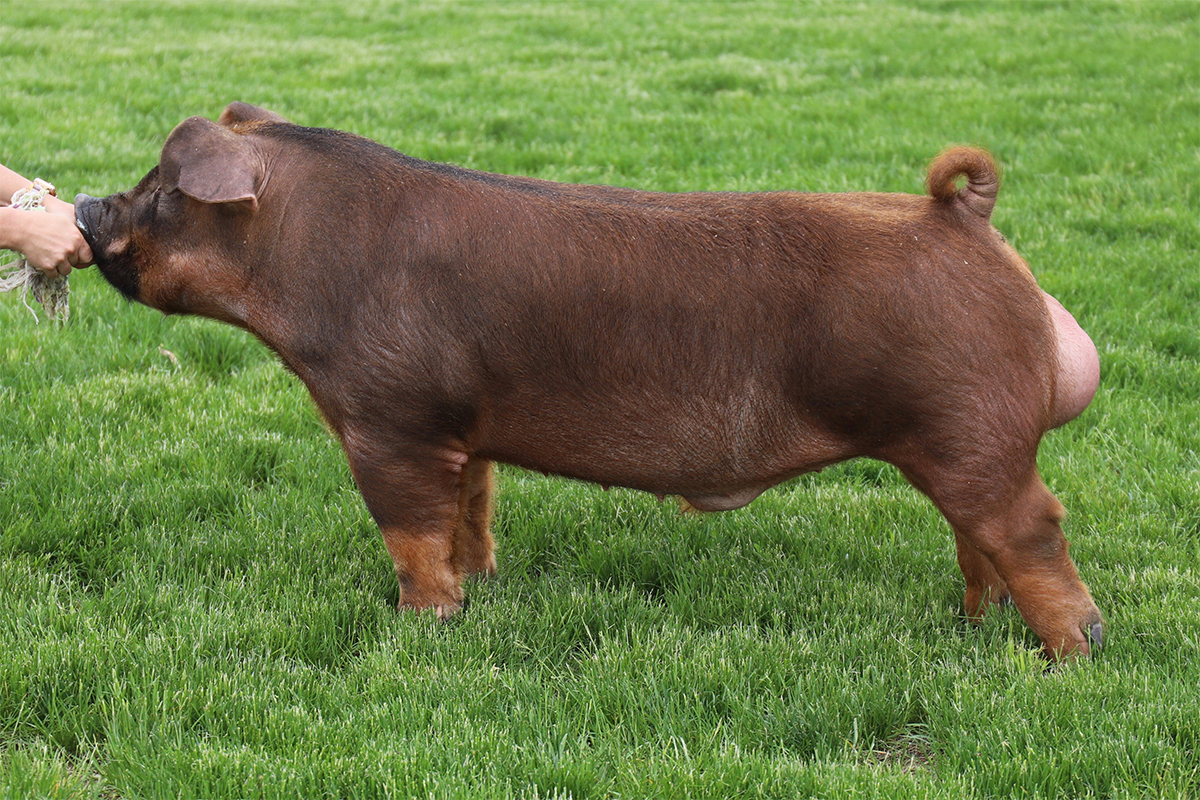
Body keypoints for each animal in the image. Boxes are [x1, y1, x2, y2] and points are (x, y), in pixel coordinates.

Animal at [75, 102, 1103, 660]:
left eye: (162, 189)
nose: (85, 204)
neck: (302, 263)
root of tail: (960, 219)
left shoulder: (388, 419)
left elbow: (410, 534)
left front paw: (421, 626)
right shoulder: (461, 429)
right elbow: (471, 513)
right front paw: (479, 590)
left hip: (971, 429)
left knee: (1034, 529)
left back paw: (1070, 659)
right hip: (960, 445)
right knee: (980, 543)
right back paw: (971, 628)